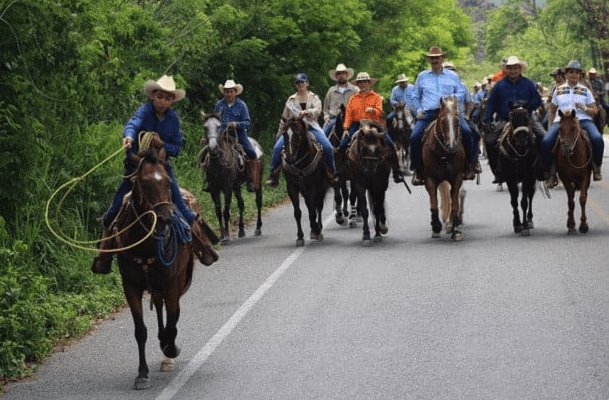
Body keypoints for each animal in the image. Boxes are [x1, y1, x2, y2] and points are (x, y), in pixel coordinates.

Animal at [114, 145, 218, 390]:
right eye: (144, 183)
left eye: (167, 182)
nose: (165, 218)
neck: (145, 246)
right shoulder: (130, 286)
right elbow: (140, 331)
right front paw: (142, 374)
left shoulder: (172, 283)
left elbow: (173, 321)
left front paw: (170, 349)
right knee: (160, 307)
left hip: (175, 281)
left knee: (172, 314)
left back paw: (168, 351)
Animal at [202, 112, 264, 244]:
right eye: (205, 127)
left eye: (219, 126)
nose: (213, 148)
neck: (218, 163)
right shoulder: (214, 189)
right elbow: (218, 212)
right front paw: (221, 236)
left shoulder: (227, 188)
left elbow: (226, 211)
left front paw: (226, 237)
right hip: (237, 187)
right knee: (241, 204)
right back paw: (241, 230)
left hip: (258, 183)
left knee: (258, 202)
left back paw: (258, 228)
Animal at [282, 116, 330, 247]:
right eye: (284, 134)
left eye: (297, 133)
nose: (289, 159)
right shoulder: (292, 187)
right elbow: (297, 213)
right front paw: (300, 236)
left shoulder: (313, 187)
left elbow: (313, 212)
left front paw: (316, 229)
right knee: (310, 205)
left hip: (320, 187)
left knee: (318, 206)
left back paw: (318, 228)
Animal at [422, 96, 466, 241]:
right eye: (442, 121)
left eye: (457, 120)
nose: (451, 147)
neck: (444, 154)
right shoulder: (430, 179)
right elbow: (434, 204)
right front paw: (436, 227)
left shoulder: (457, 177)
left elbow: (455, 203)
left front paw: (455, 229)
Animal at [494, 101, 536, 236]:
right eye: (512, 120)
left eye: (526, 118)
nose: (522, 143)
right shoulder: (509, 177)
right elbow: (514, 201)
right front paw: (517, 223)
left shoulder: (527, 176)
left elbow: (524, 202)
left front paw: (525, 226)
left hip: (532, 178)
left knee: (530, 195)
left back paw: (529, 220)